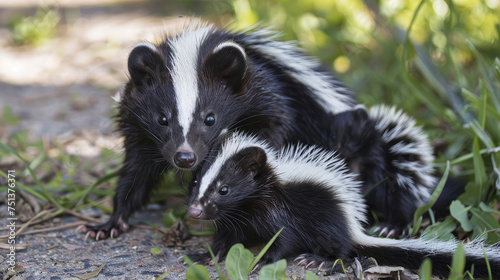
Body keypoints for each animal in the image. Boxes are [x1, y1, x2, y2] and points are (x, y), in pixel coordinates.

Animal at [78, 23, 356, 240]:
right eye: (162, 119)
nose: (185, 157)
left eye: (210, 118)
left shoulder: (268, 96)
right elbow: (135, 172)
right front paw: (110, 223)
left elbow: (272, 134)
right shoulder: (138, 126)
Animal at [186, 132, 498, 276]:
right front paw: (205, 254)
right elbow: (227, 237)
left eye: (224, 189)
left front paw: (263, 259)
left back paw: (319, 259)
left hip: (328, 222)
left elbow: (285, 239)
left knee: (342, 249)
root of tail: (354, 228)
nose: (194, 210)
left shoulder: (283, 211)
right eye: (196, 181)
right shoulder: (239, 216)